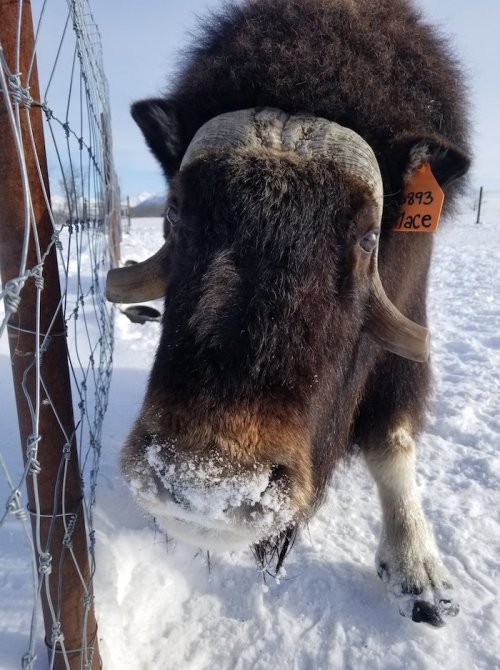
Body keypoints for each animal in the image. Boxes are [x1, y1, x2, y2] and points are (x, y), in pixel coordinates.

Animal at [107, 0, 471, 627]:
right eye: (175, 212)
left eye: (369, 238)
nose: (207, 488)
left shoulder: (408, 330)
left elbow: (394, 439)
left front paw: (420, 575)